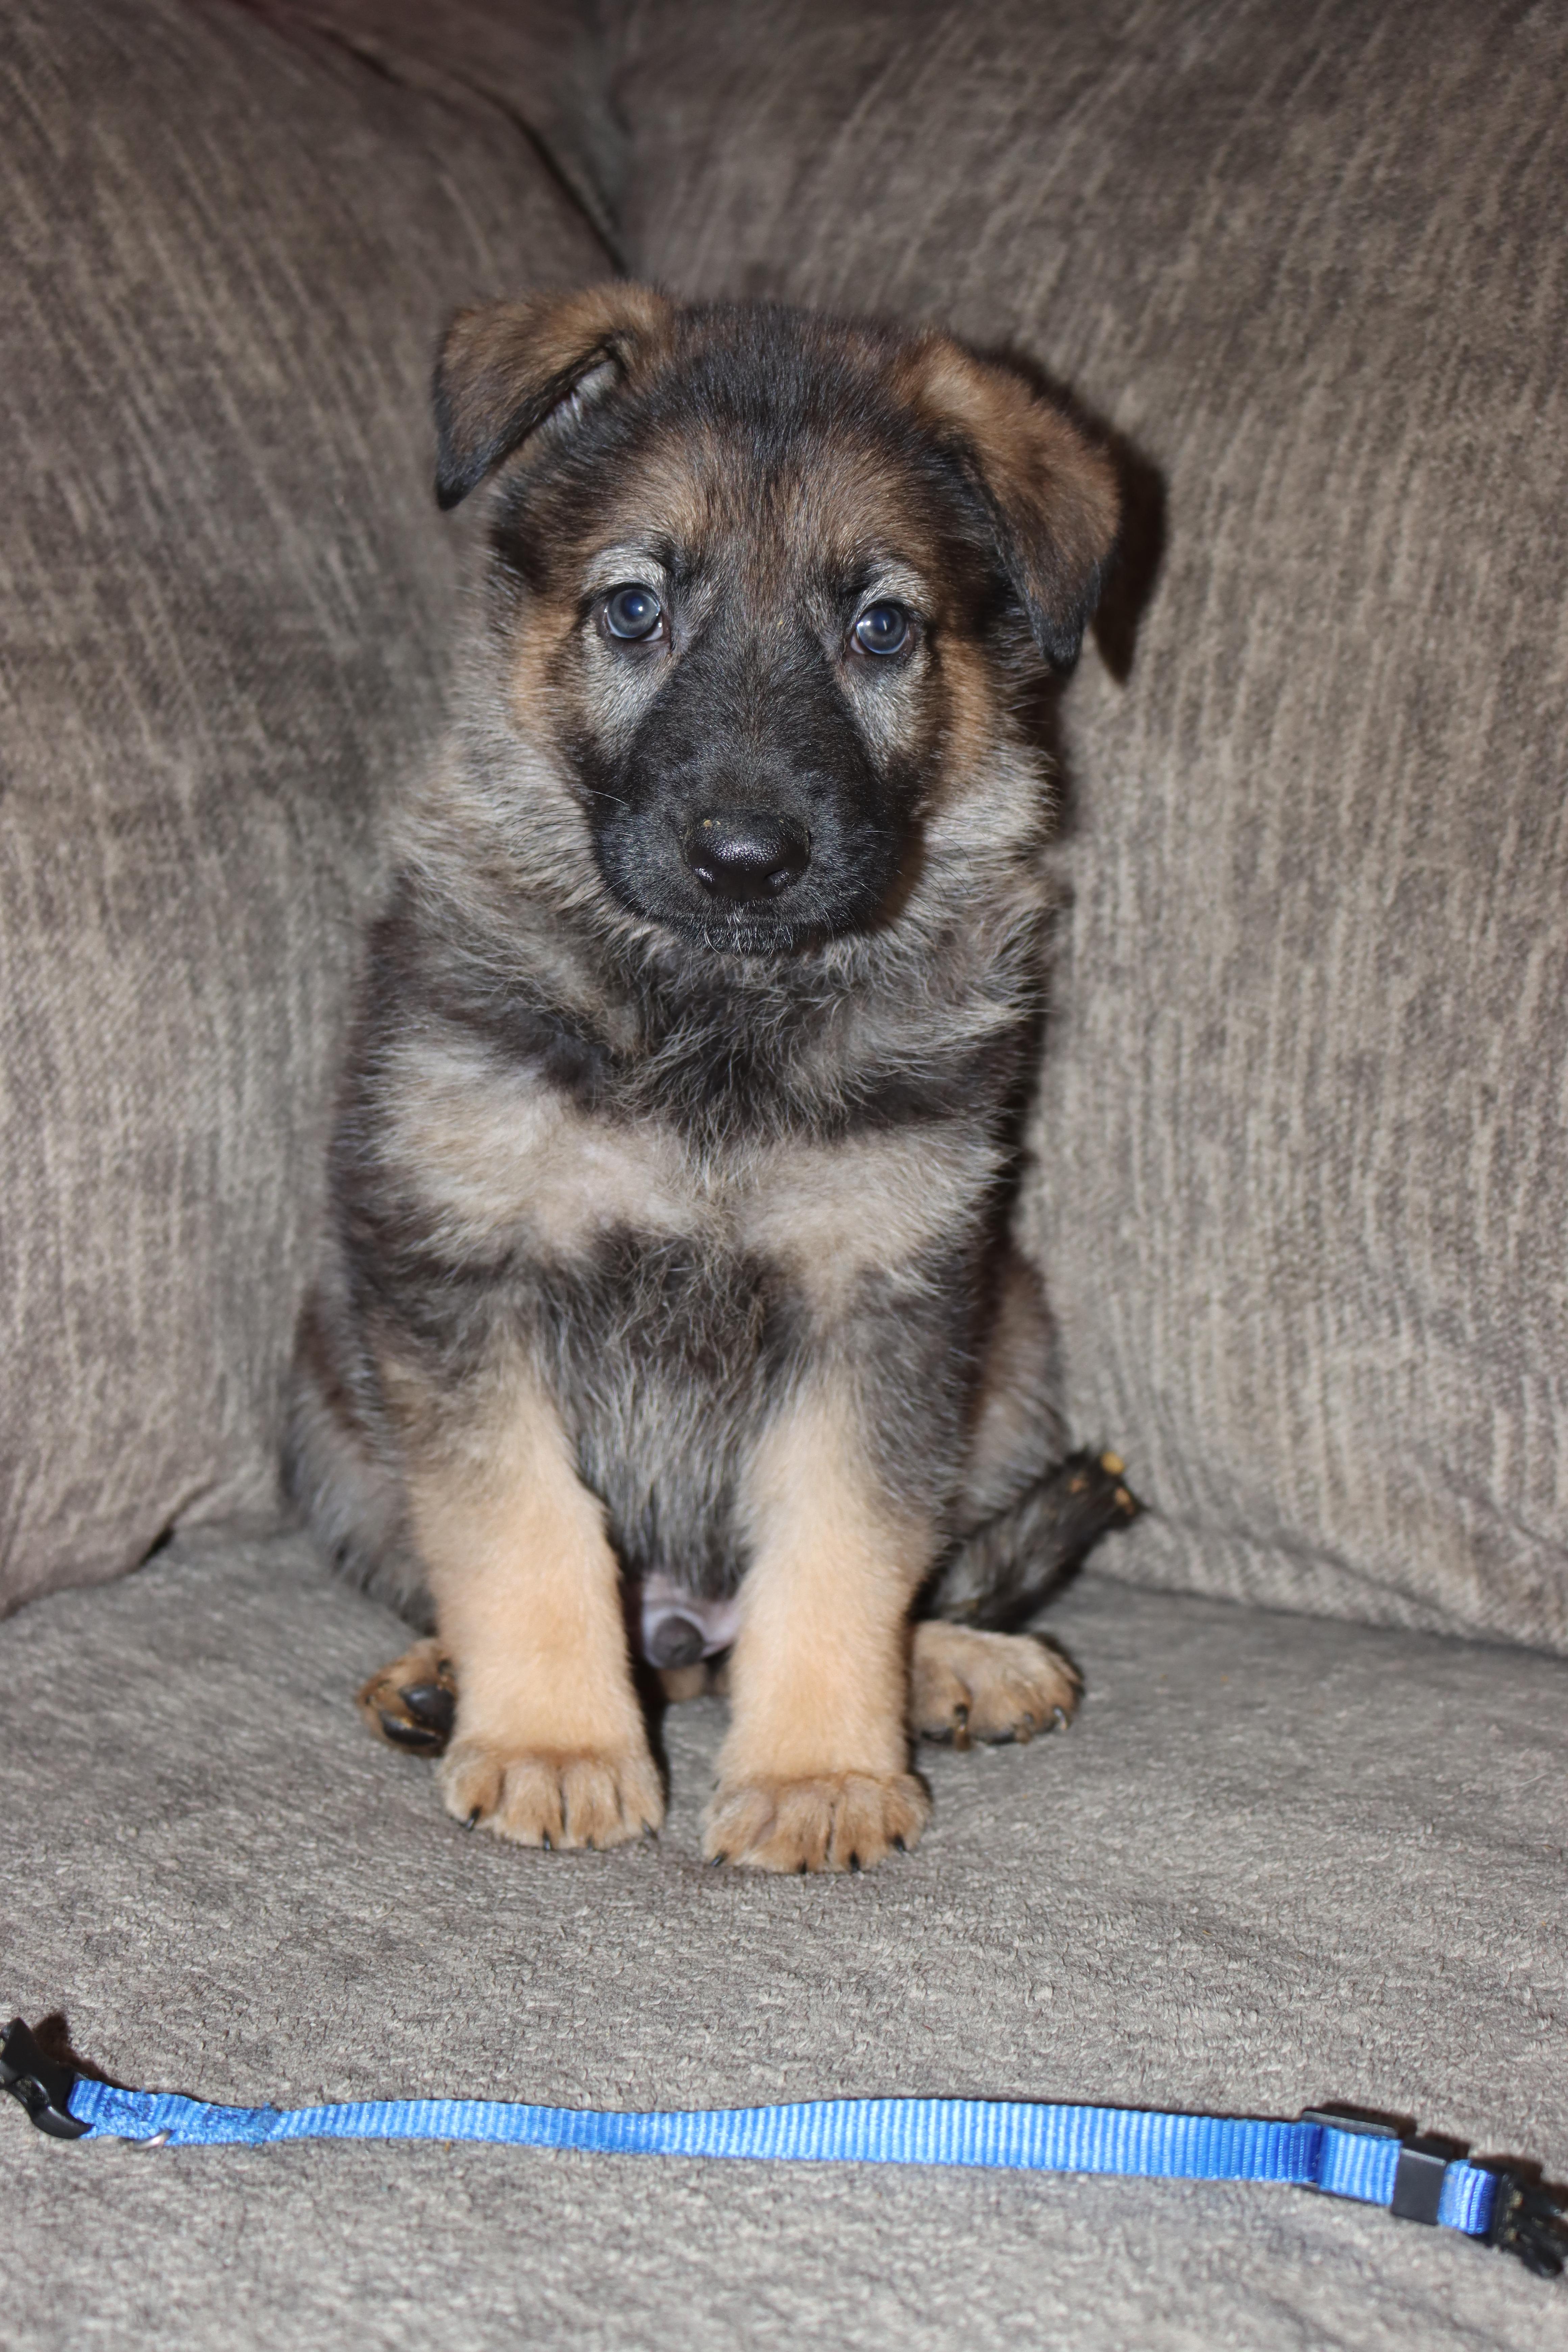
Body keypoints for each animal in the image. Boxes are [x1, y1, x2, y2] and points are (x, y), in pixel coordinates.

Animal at [286, 285, 1136, 1873]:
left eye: (879, 627)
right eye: (633, 607)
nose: (744, 859)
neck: (713, 1017)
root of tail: (680, 1624)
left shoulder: (883, 1298)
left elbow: (845, 1548)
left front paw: (817, 1774)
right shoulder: (460, 1269)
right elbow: (518, 1526)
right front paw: (555, 1743)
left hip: (1017, 1348)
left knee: (901, 1582)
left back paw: (957, 1665)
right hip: (322, 1390)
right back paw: (444, 1683)